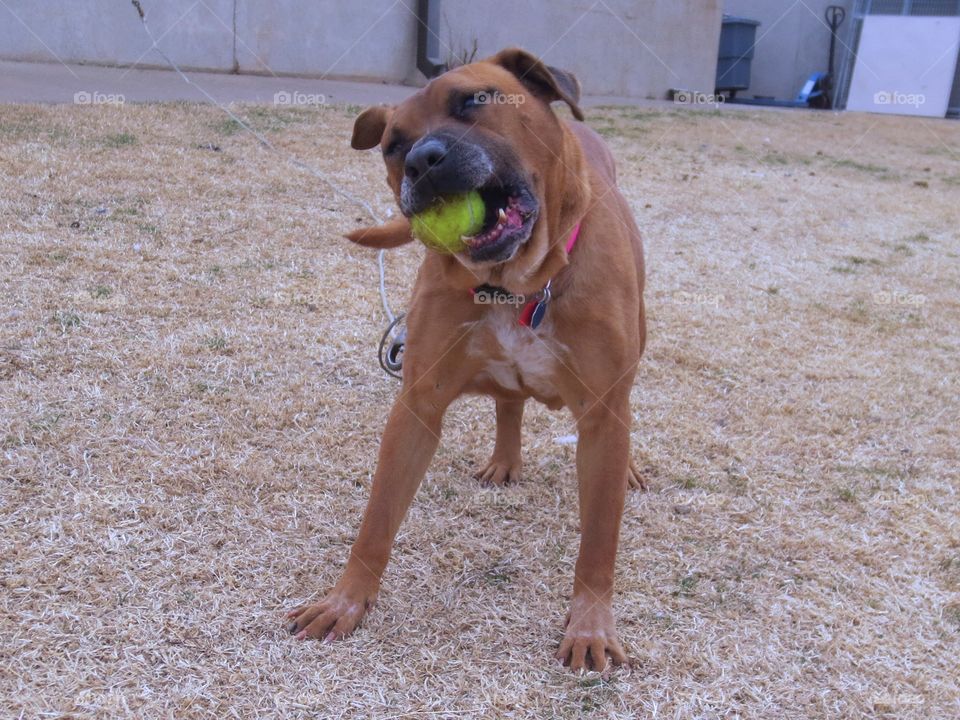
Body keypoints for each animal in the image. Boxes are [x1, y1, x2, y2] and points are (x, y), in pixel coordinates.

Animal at [284, 47, 644, 672]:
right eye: (393, 144)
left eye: (475, 100)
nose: (422, 162)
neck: (518, 287)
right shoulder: (417, 405)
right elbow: (377, 520)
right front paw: (346, 599)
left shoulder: (602, 412)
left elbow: (599, 540)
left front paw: (591, 625)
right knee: (509, 402)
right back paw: (504, 459)